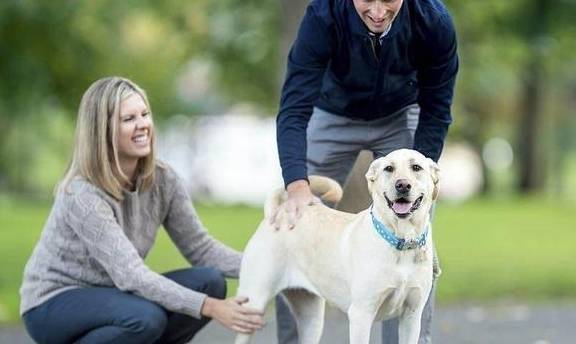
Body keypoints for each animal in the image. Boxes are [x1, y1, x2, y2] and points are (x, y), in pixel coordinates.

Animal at [236, 148, 438, 344]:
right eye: (389, 168)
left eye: (416, 167)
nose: (402, 185)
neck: (402, 239)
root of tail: (276, 213)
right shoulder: (361, 315)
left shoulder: (412, 316)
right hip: (252, 304)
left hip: (312, 319)